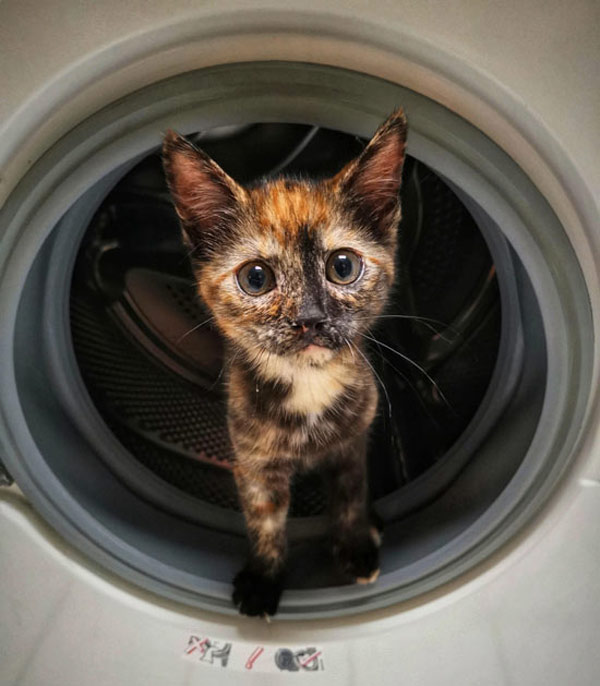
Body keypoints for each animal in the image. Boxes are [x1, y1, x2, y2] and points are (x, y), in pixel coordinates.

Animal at [163, 111, 408, 620]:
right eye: (256, 278)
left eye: (342, 267)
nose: (310, 318)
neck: (308, 383)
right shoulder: (254, 459)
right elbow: (266, 520)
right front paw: (264, 578)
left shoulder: (353, 442)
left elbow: (351, 494)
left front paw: (355, 544)